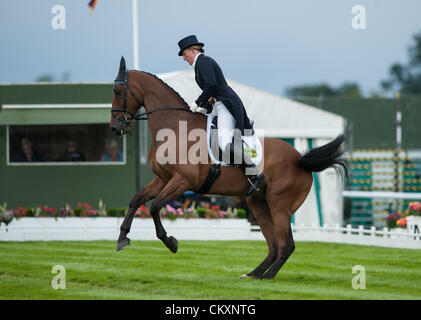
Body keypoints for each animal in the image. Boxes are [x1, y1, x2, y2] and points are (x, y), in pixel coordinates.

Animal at [110, 57, 346, 280]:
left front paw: (171, 242)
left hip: (280, 206)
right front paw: (122, 239)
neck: (174, 129)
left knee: (286, 244)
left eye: (117, 91)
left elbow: (155, 206)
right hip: (259, 204)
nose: (115, 128)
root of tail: (300, 160)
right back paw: (253, 275)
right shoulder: (162, 179)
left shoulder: (182, 181)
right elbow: (136, 201)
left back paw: (267, 277)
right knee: (273, 245)